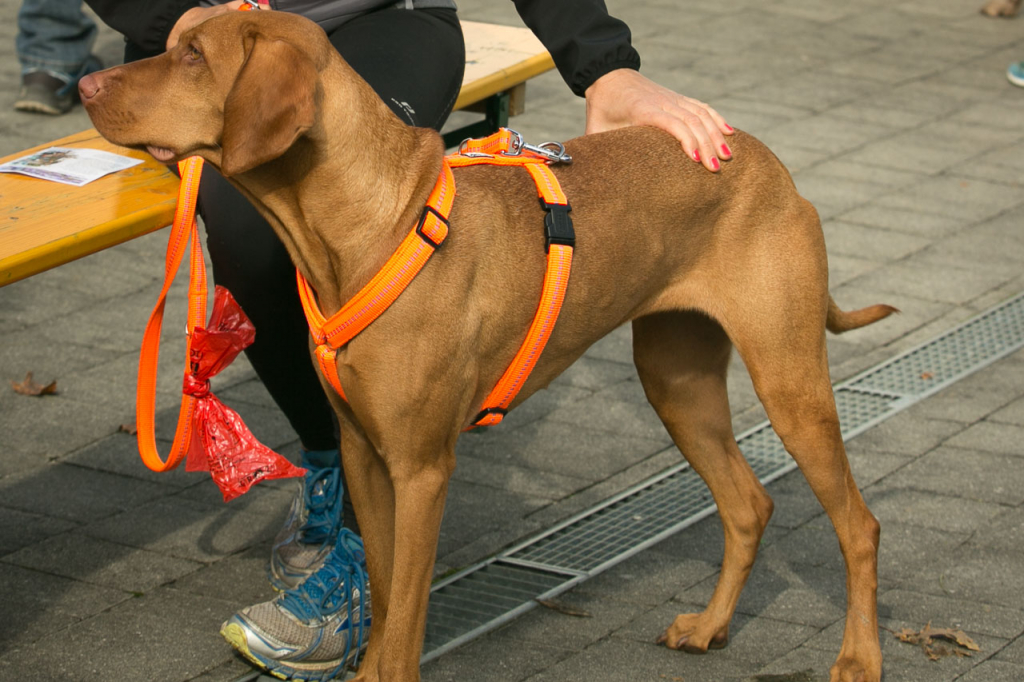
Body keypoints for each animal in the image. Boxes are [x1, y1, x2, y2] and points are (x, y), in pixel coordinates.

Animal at [81, 10, 897, 679]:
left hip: (789, 381)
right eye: (177, 42)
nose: (87, 84)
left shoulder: (422, 469)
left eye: (194, 56)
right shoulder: (365, 453)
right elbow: (384, 596)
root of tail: (765, 159)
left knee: (858, 526)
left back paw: (858, 658)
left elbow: (405, 623)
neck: (373, 223)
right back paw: (712, 627)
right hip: (678, 383)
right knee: (748, 504)